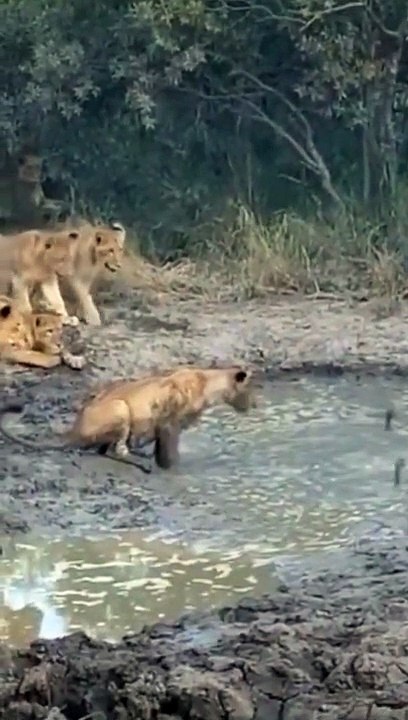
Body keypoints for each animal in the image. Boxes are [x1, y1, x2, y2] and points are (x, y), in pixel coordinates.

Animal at [0, 365, 255, 471]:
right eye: (250, 389)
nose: (254, 405)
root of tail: (75, 428)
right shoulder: (169, 424)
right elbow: (170, 456)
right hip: (120, 407)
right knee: (116, 450)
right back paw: (141, 463)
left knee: (105, 449)